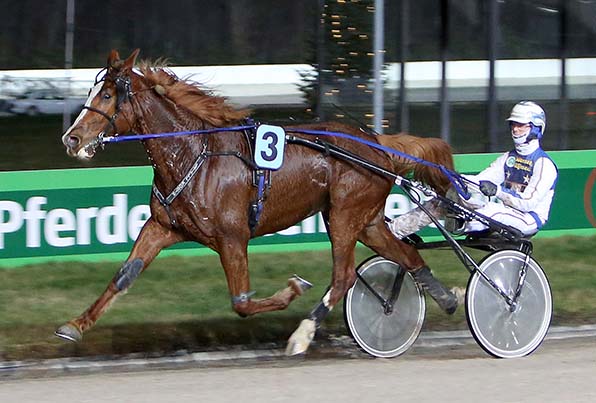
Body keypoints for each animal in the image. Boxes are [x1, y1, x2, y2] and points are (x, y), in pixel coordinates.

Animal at [58, 49, 454, 356]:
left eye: (108, 95)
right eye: (93, 90)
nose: (71, 138)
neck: (192, 155)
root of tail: (376, 142)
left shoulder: (232, 237)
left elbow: (243, 302)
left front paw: (293, 288)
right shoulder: (162, 226)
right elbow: (124, 276)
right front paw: (75, 325)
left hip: (345, 216)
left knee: (342, 278)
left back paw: (302, 335)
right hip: (365, 220)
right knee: (409, 257)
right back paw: (446, 299)